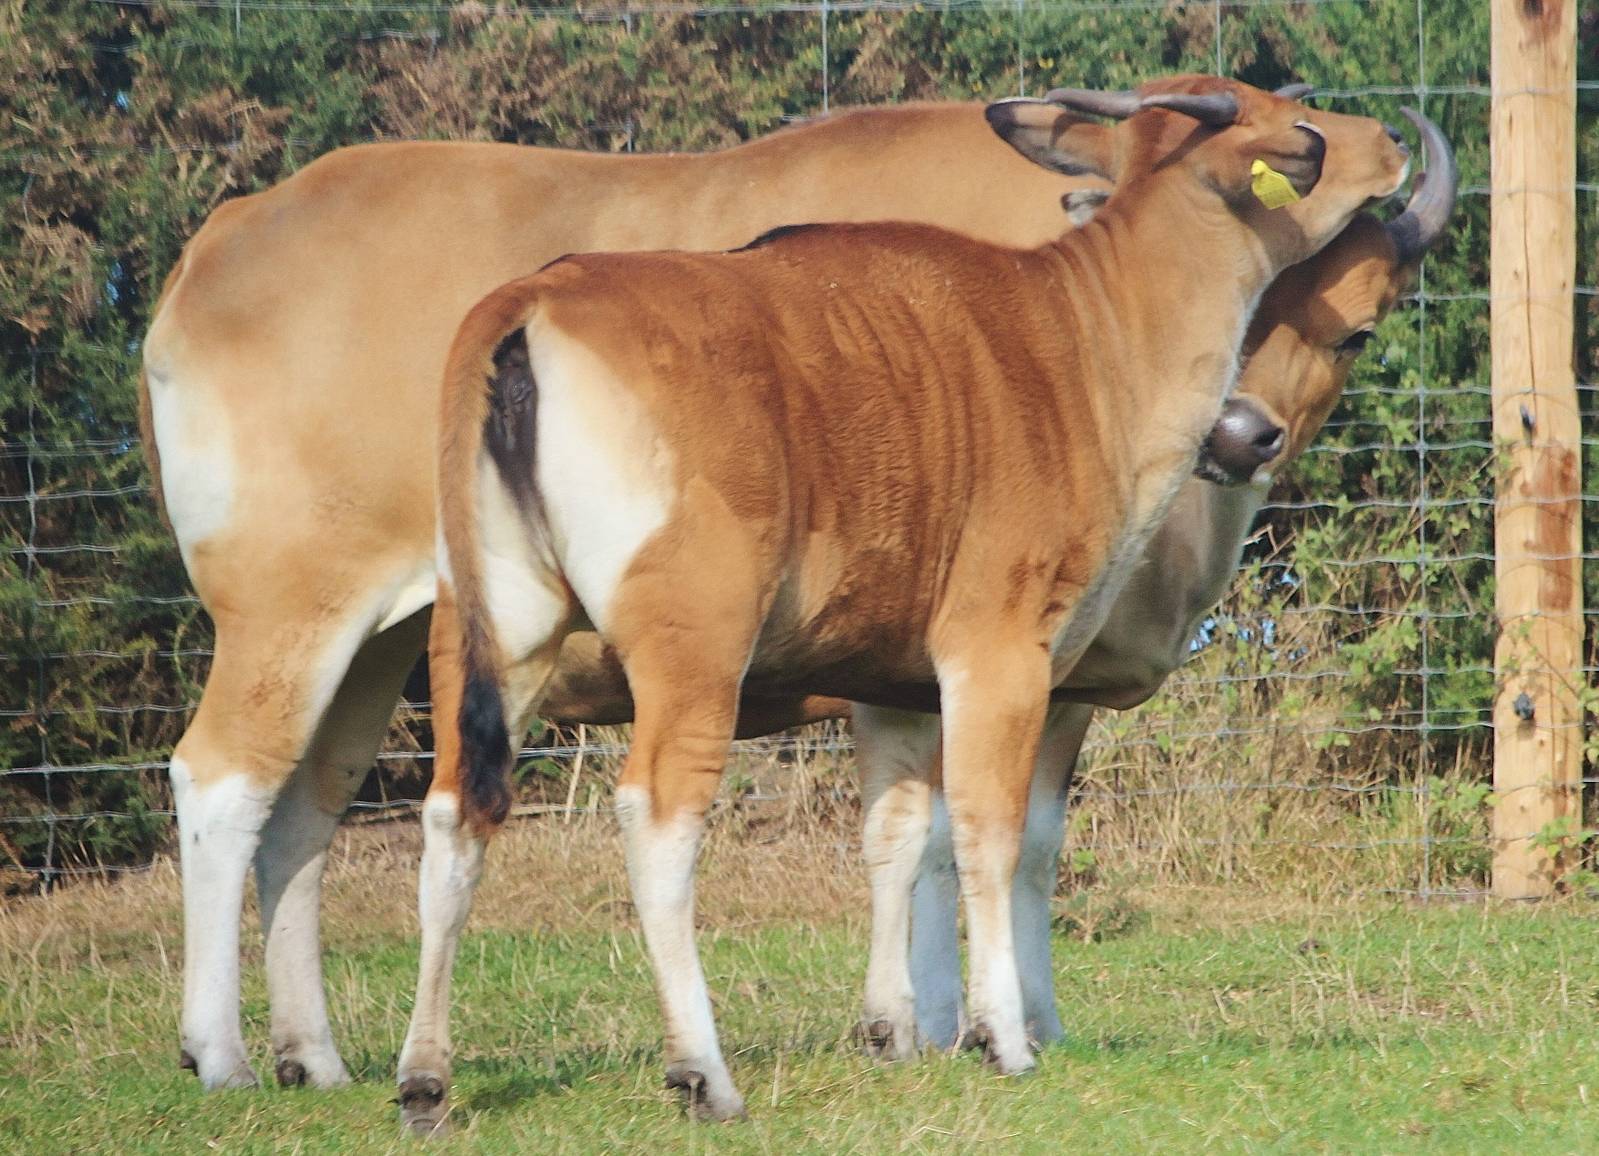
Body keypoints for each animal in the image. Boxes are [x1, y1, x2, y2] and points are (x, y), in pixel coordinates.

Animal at [419, 76, 1412, 1123]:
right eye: (1302, 130)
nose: (1388, 138)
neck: (1088, 333)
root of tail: (531, 304)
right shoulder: (1000, 656)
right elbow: (988, 833)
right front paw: (1001, 1036)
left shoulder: (897, 689)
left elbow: (902, 836)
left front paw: (904, 1030)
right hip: (694, 652)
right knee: (655, 821)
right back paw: (702, 1071)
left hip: (491, 638)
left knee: (455, 810)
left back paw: (424, 1077)